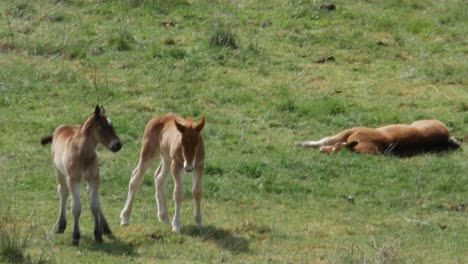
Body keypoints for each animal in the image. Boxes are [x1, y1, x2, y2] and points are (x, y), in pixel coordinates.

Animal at [41, 104, 122, 245]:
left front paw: (98, 234)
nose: (117, 145)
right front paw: (75, 237)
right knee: (63, 191)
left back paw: (105, 227)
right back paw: (61, 225)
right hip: (60, 172)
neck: (83, 154)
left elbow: (95, 205)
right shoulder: (74, 179)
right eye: (102, 126)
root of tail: (61, 127)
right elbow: (76, 207)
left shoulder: (95, 178)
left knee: (92, 195)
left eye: (111, 125)